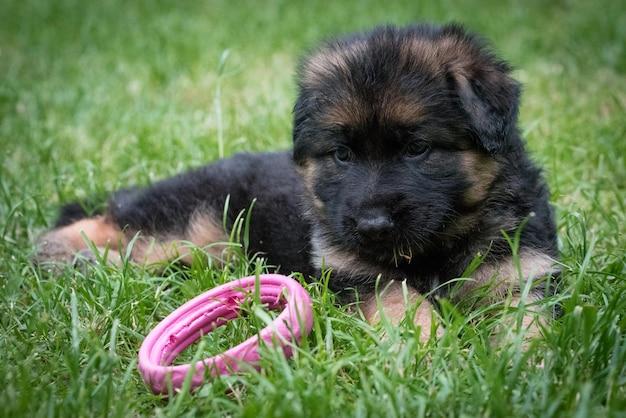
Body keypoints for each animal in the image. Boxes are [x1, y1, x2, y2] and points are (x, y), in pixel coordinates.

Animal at [36, 23, 560, 342]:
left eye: (417, 149)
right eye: (342, 155)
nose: (372, 226)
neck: (434, 248)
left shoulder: (520, 274)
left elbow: (530, 328)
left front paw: (527, 372)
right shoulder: (357, 275)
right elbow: (403, 305)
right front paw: (430, 351)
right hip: (188, 223)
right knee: (108, 224)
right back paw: (62, 254)